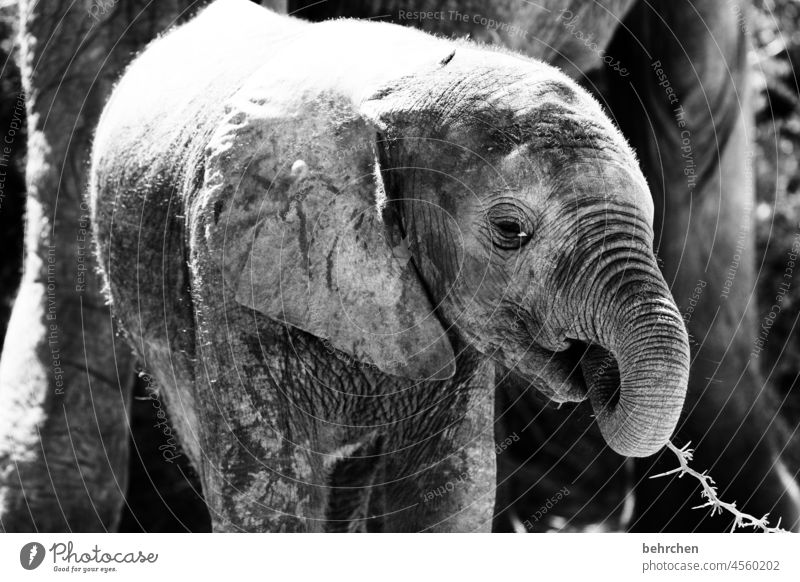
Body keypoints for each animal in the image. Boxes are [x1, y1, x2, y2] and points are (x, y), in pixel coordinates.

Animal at [89, 0, 688, 532]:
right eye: (510, 230)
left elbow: (448, 490)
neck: (407, 82)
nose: (599, 367)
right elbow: (266, 495)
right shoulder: (229, 274)